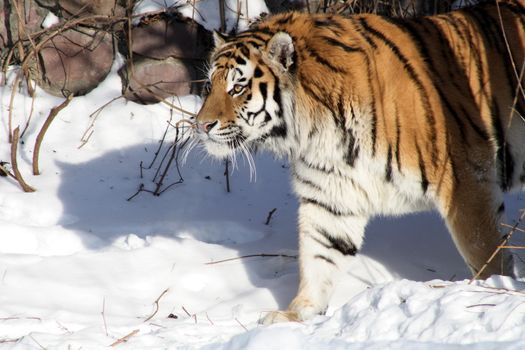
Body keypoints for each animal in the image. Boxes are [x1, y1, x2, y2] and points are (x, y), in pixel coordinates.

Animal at [191, 0, 524, 326]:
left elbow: (484, 251)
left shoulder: (466, 179)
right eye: (209, 86)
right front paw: (297, 314)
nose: (202, 125)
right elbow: (319, 256)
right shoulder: (330, 195)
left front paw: (492, 290)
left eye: (238, 88)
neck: (313, 130)